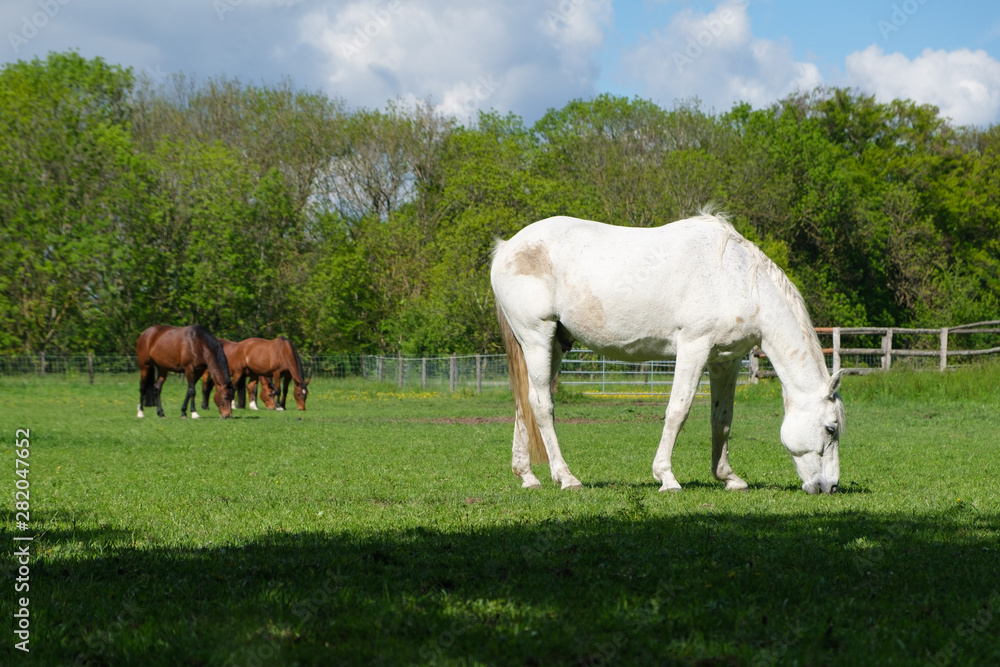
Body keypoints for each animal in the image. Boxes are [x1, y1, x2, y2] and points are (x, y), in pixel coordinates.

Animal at [492, 211, 844, 494]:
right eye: (831, 428)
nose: (830, 487)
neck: (737, 278)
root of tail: (507, 248)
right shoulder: (693, 348)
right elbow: (678, 410)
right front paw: (667, 477)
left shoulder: (726, 361)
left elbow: (722, 419)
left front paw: (728, 477)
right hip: (537, 338)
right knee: (542, 406)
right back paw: (566, 478)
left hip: (553, 345)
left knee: (524, 404)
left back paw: (528, 477)